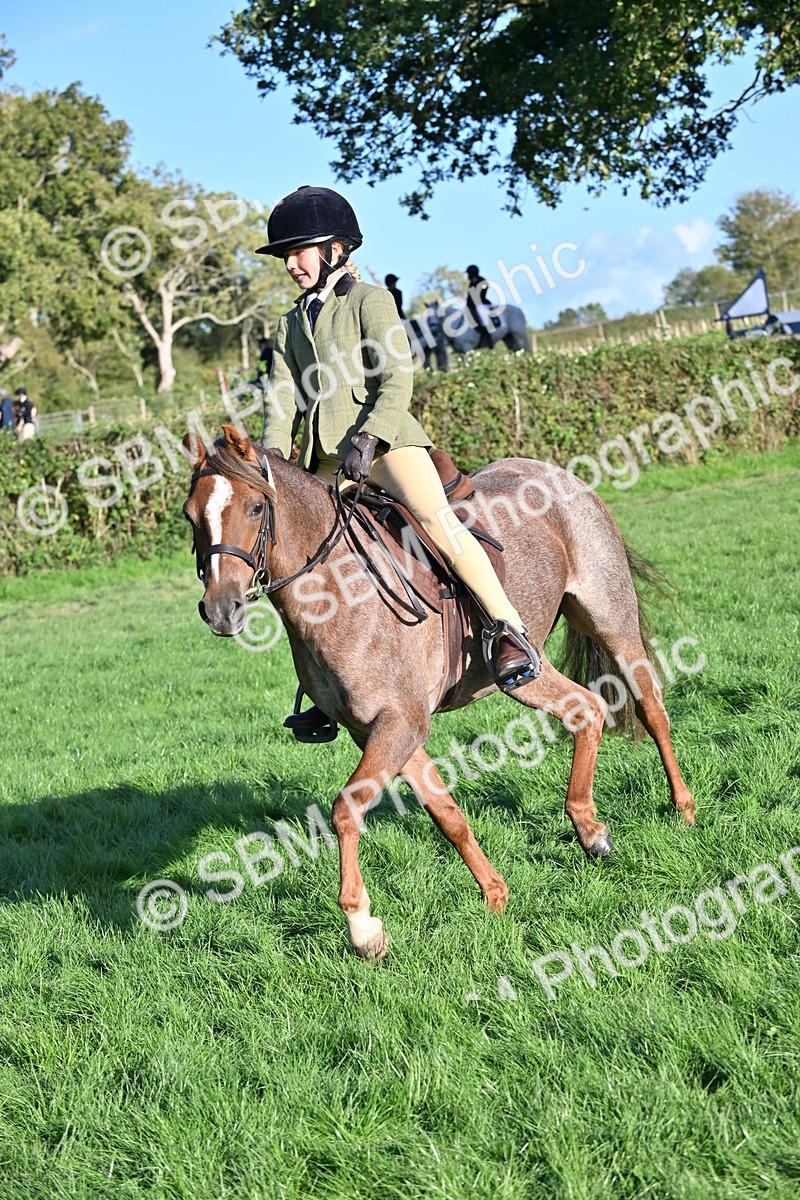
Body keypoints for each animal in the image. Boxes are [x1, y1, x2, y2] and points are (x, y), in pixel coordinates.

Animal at [184, 425, 695, 962]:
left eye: (255, 508)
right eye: (191, 516)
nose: (220, 609)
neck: (335, 591)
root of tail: (558, 473)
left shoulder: (400, 723)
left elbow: (345, 809)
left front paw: (363, 928)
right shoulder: (380, 731)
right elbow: (446, 813)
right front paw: (495, 896)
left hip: (610, 619)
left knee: (651, 707)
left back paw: (683, 808)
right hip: (524, 671)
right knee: (584, 709)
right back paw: (590, 830)